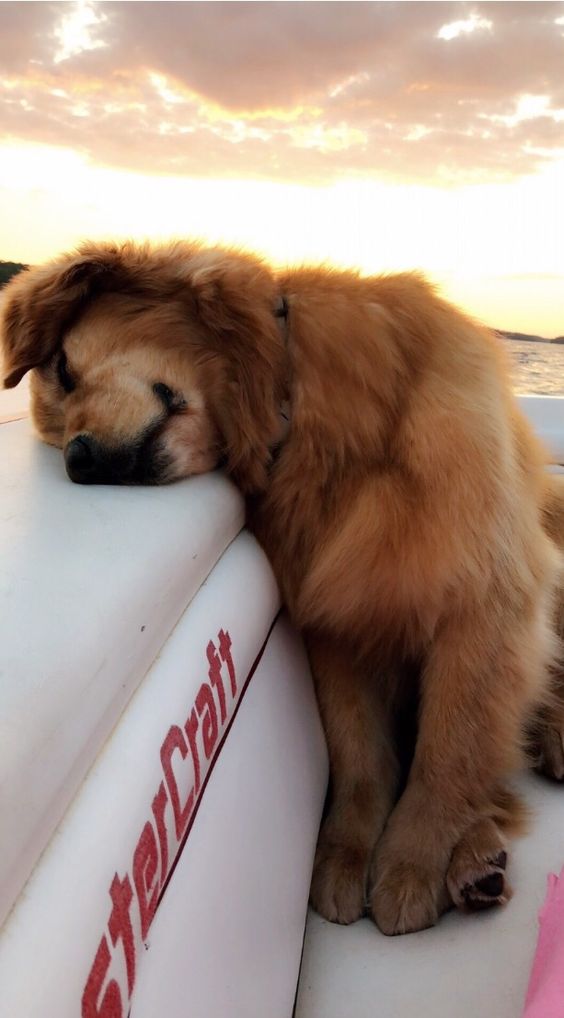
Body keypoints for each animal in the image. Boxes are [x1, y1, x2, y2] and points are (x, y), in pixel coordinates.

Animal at [3, 242, 561, 932]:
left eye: (63, 367)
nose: (77, 461)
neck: (295, 405)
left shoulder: (485, 599)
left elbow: (448, 748)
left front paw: (414, 860)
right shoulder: (341, 614)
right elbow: (359, 753)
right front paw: (349, 851)